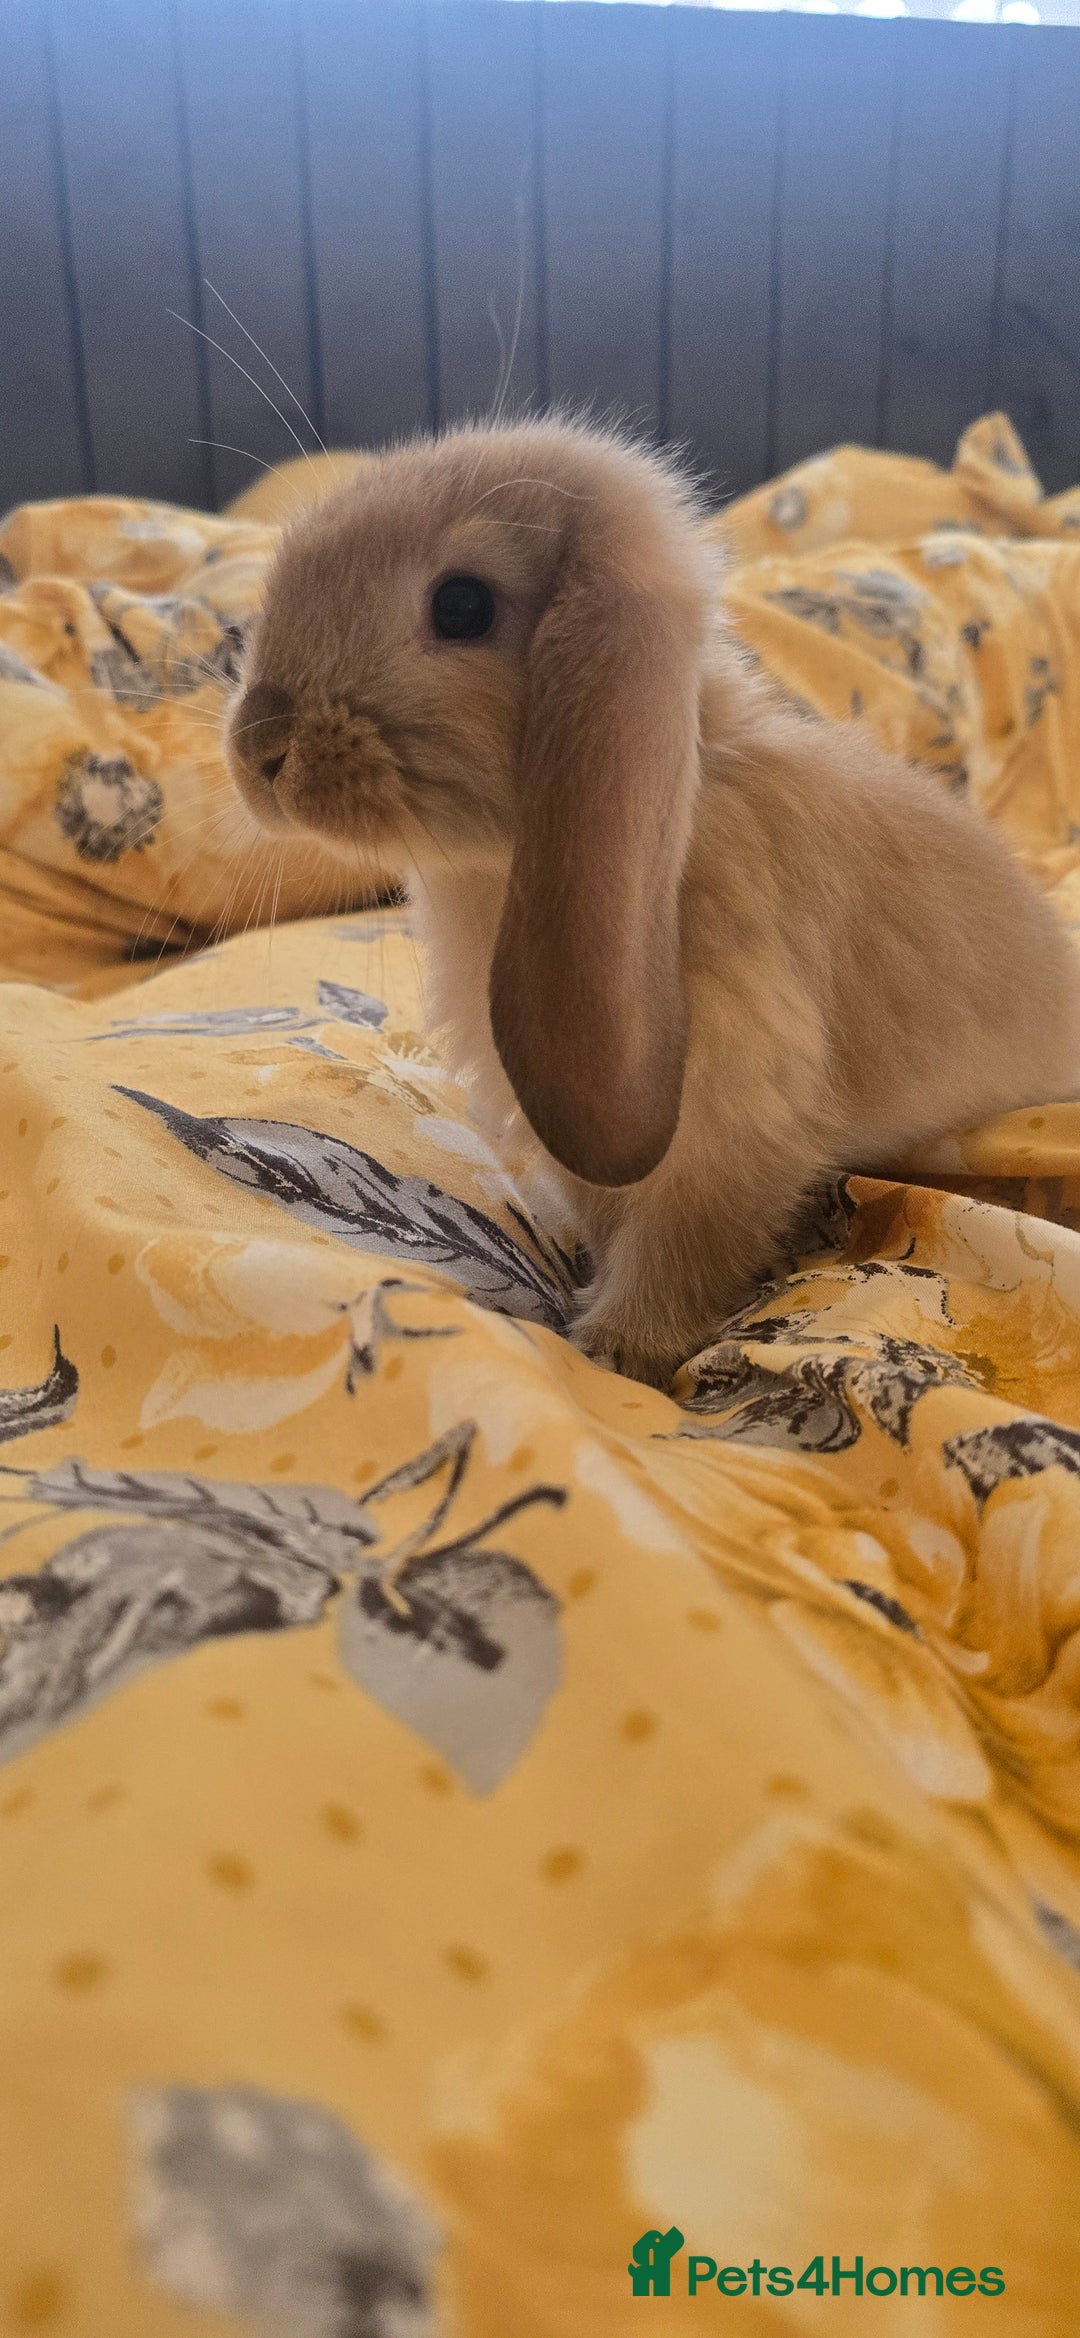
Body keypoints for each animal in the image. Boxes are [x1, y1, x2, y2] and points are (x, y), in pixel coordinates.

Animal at [225, 417, 1080, 1387]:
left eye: (463, 607)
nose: (257, 743)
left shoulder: (727, 1128)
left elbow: (680, 1244)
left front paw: (615, 1348)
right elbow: (611, 1217)